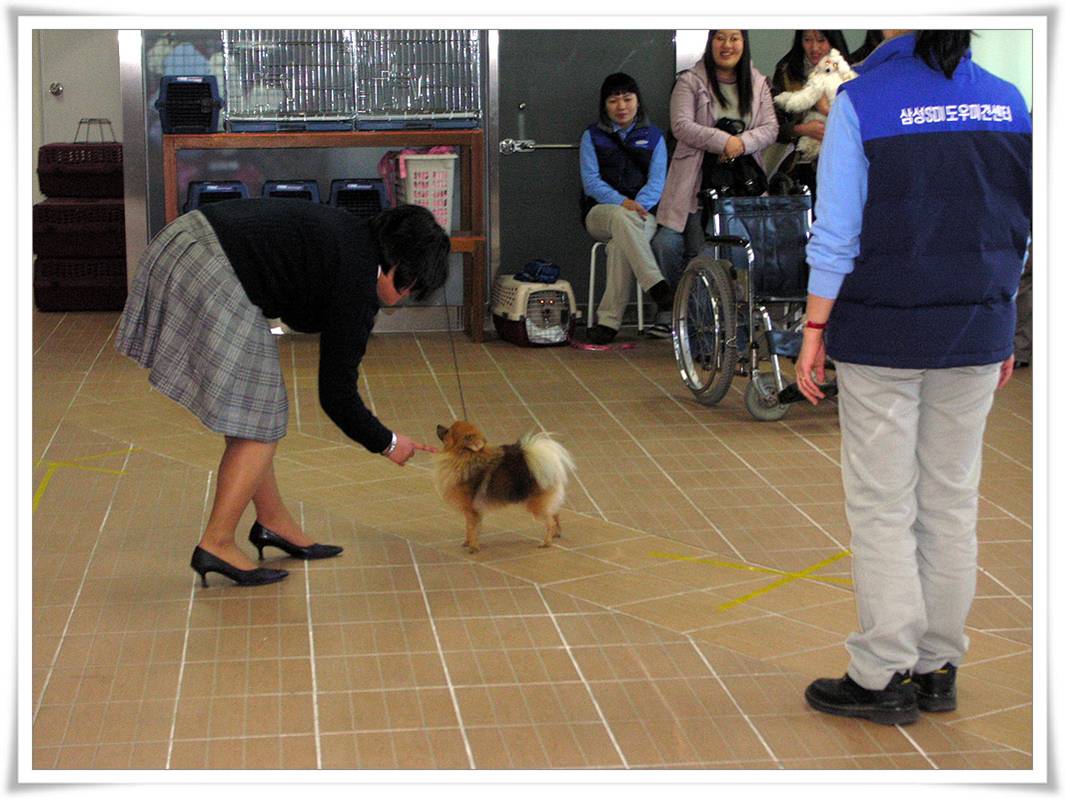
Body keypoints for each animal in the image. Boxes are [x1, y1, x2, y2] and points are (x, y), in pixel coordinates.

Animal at [434, 421, 575, 553]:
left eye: (448, 431)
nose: (438, 425)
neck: (465, 457)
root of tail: (549, 465)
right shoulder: (472, 510)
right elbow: (471, 528)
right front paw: (468, 542)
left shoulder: (471, 509)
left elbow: (471, 528)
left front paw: (473, 547)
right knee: (555, 514)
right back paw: (556, 533)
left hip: (536, 505)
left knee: (550, 521)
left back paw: (546, 542)